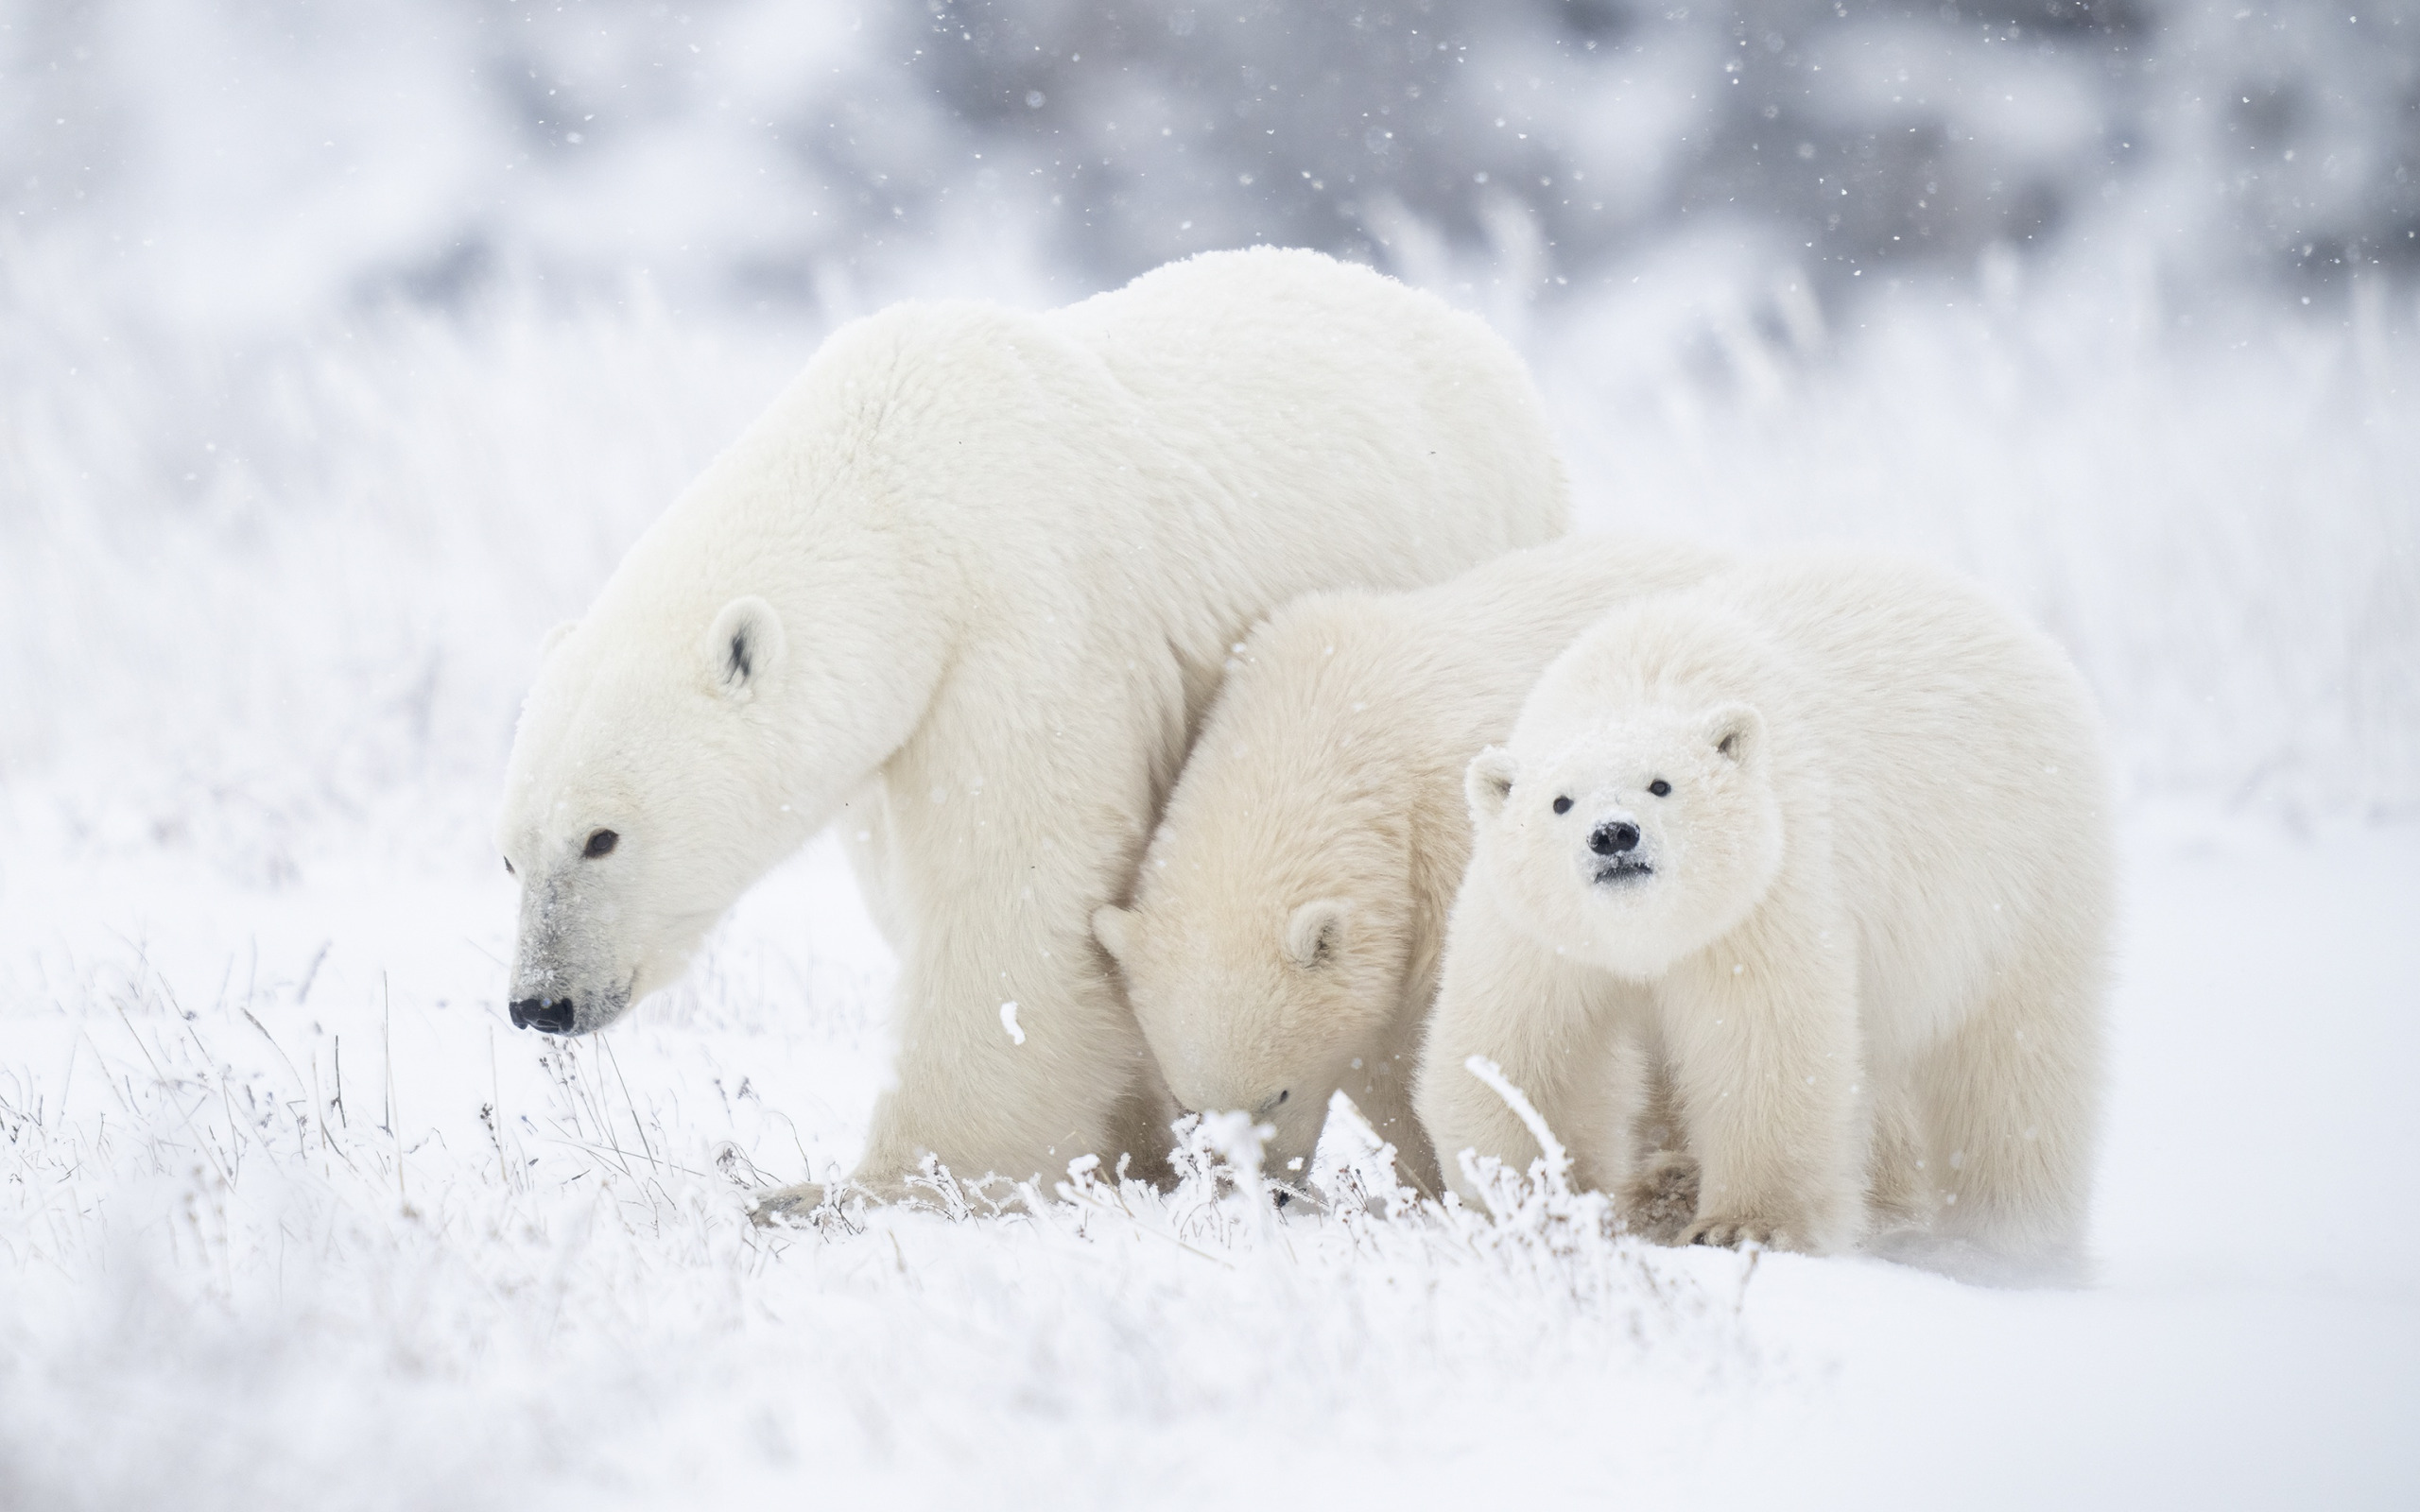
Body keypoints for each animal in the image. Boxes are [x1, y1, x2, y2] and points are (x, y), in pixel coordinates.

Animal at [491, 248, 1567, 1214]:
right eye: (509, 854)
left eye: (601, 837)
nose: (542, 1002)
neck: (897, 496)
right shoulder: (898, 725)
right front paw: (1131, 1146)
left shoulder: (1028, 617)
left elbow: (1013, 886)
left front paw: (886, 1184)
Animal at [1098, 537, 1722, 1194]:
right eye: (1192, 1104)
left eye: (1278, 1095)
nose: (1270, 1193)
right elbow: (1384, 1062)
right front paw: (1424, 1183)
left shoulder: (1453, 838)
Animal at [1413, 549, 2110, 1267]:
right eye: (1560, 802)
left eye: (1661, 785)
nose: (1613, 836)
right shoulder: (1532, 931)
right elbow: (1510, 1048)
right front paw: (1529, 1208)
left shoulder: (1765, 892)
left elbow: (1763, 1046)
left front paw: (1742, 1226)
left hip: (2025, 872)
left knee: (2014, 1055)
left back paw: (2009, 1232)